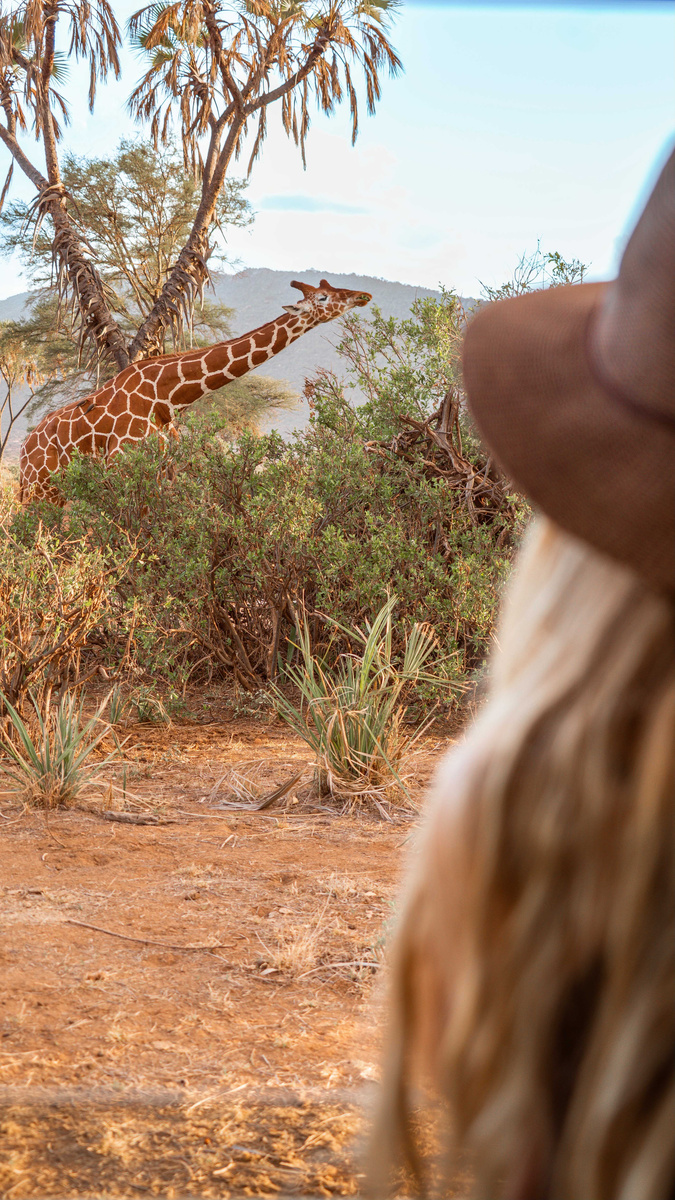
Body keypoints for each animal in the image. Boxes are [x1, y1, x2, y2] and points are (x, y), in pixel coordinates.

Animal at [19, 278, 372, 503]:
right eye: (322, 298)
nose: (362, 296)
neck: (165, 398)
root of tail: (24, 451)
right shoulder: (122, 468)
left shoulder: (166, 473)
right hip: (40, 490)